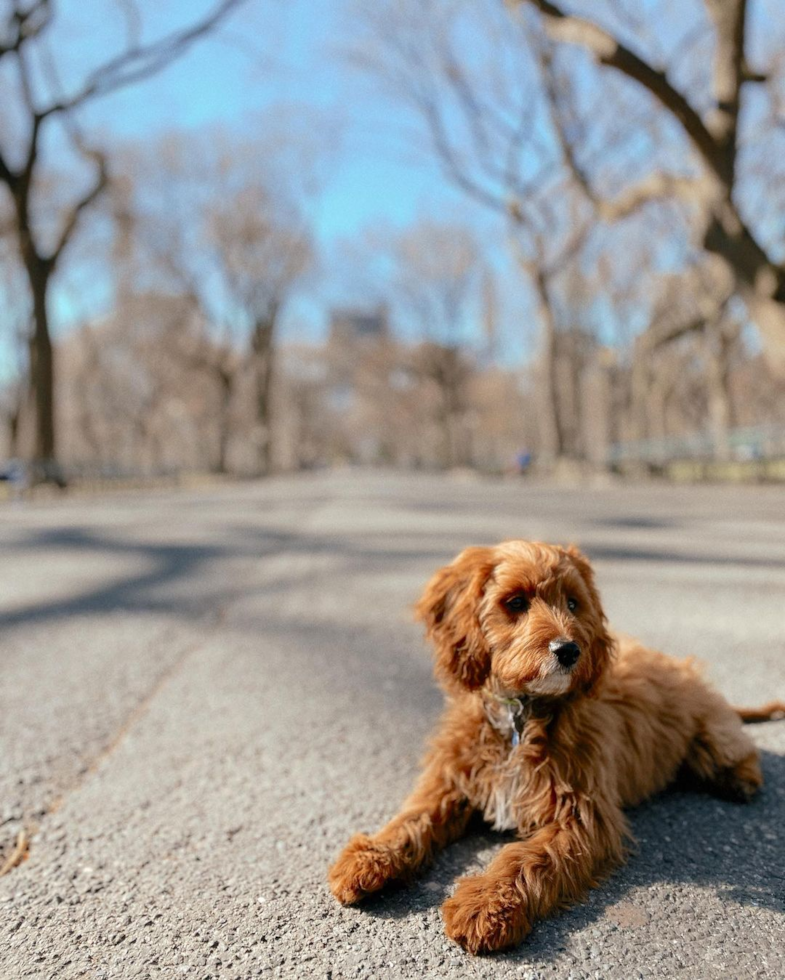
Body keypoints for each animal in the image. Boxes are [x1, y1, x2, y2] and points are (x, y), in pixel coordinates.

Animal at [328, 540, 780, 952]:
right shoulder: (452, 779)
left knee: (735, 746)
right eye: (515, 602)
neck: (521, 717)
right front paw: (371, 855)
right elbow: (415, 815)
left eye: (573, 603)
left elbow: (526, 857)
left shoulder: (582, 813)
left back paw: (740, 779)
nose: (569, 650)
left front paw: (485, 904)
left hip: (711, 735)